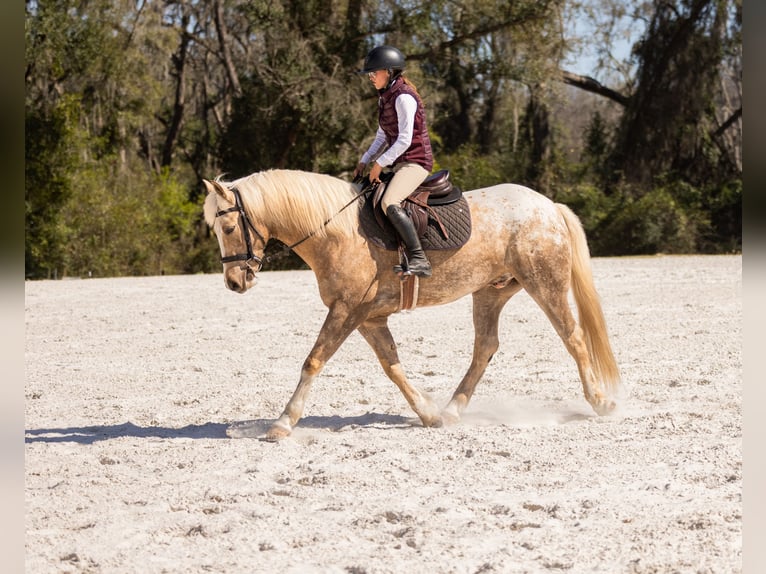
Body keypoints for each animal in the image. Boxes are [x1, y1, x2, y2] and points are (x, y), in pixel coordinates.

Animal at [203, 169, 620, 441]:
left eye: (228, 228)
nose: (234, 282)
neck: (334, 230)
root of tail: (549, 206)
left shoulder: (346, 311)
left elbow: (313, 361)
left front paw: (283, 423)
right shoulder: (368, 318)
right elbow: (393, 367)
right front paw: (429, 414)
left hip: (545, 284)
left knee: (573, 337)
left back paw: (600, 401)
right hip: (490, 292)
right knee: (485, 347)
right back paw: (452, 410)